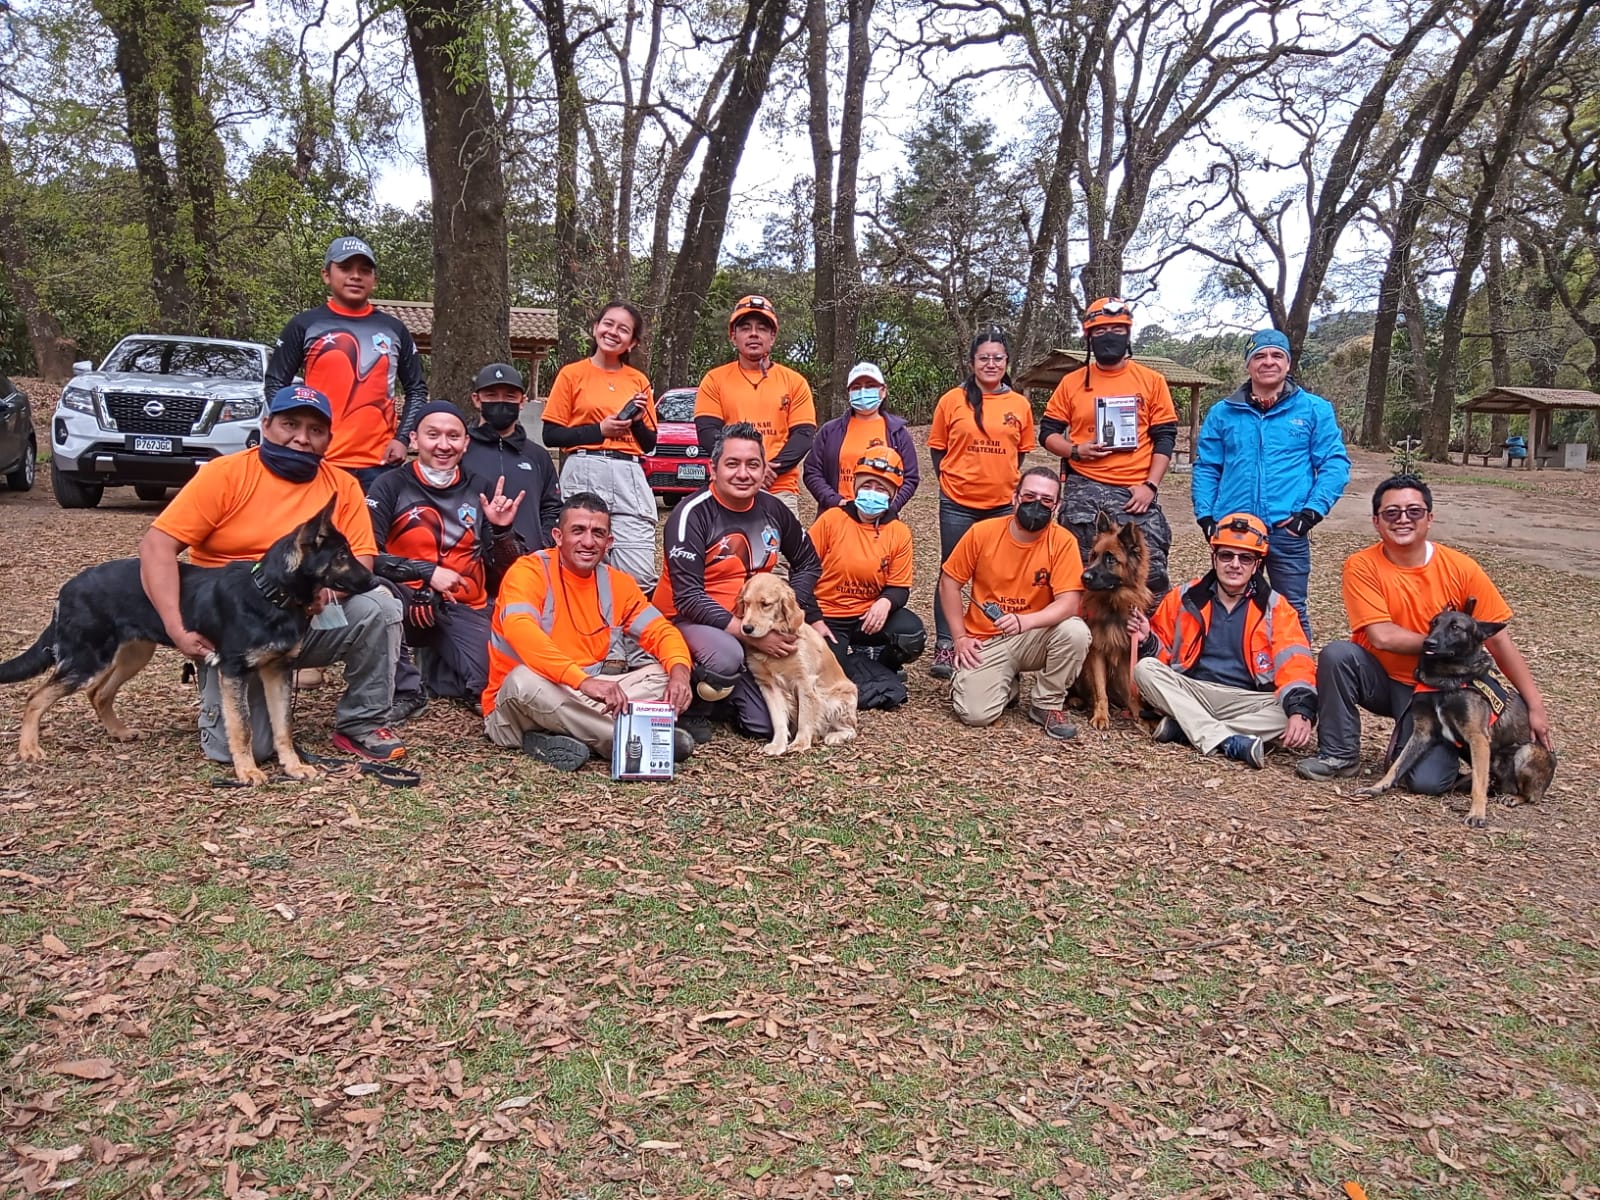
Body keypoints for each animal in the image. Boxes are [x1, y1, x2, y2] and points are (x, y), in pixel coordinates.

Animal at [2, 499, 374, 790]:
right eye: (342, 555)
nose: (374, 578)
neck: (269, 593)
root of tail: (67, 587)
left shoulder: (277, 671)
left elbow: (283, 725)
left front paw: (293, 766)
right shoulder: (233, 672)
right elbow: (242, 727)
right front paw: (247, 771)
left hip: (131, 656)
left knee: (98, 693)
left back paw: (118, 731)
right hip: (87, 662)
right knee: (35, 696)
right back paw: (29, 749)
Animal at [739, 569, 864, 752]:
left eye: (765, 604)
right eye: (746, 603)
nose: (746, 628)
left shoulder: (805, 681)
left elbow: (804, 717)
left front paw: (800, 743)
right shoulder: (768, 685)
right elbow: (778, 719)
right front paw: (778, 744)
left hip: (835, 699)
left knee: (851, 729)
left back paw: (834, 736)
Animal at [1075, 508, 1152, 729]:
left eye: (1111, 559)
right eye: (1093, 555)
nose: (1084, 577)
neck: (1113, 606)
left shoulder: (1127, 653)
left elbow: (1131, 690)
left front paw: (1140, 715)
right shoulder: (1097, 652)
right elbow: (1100, 689)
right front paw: (1101, 715)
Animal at [1356, 598, 1555, 825]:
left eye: (1455, 628)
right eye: (1433, 623)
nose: (1428, 643)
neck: (1444, 681)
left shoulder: (1478, 738)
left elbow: (1479, 783)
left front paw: (1477, 813)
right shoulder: (1422, 733)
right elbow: (1397, 764)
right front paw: (1378, 786)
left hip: (1526, 751)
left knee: (1529, 796)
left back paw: (1514, 797)